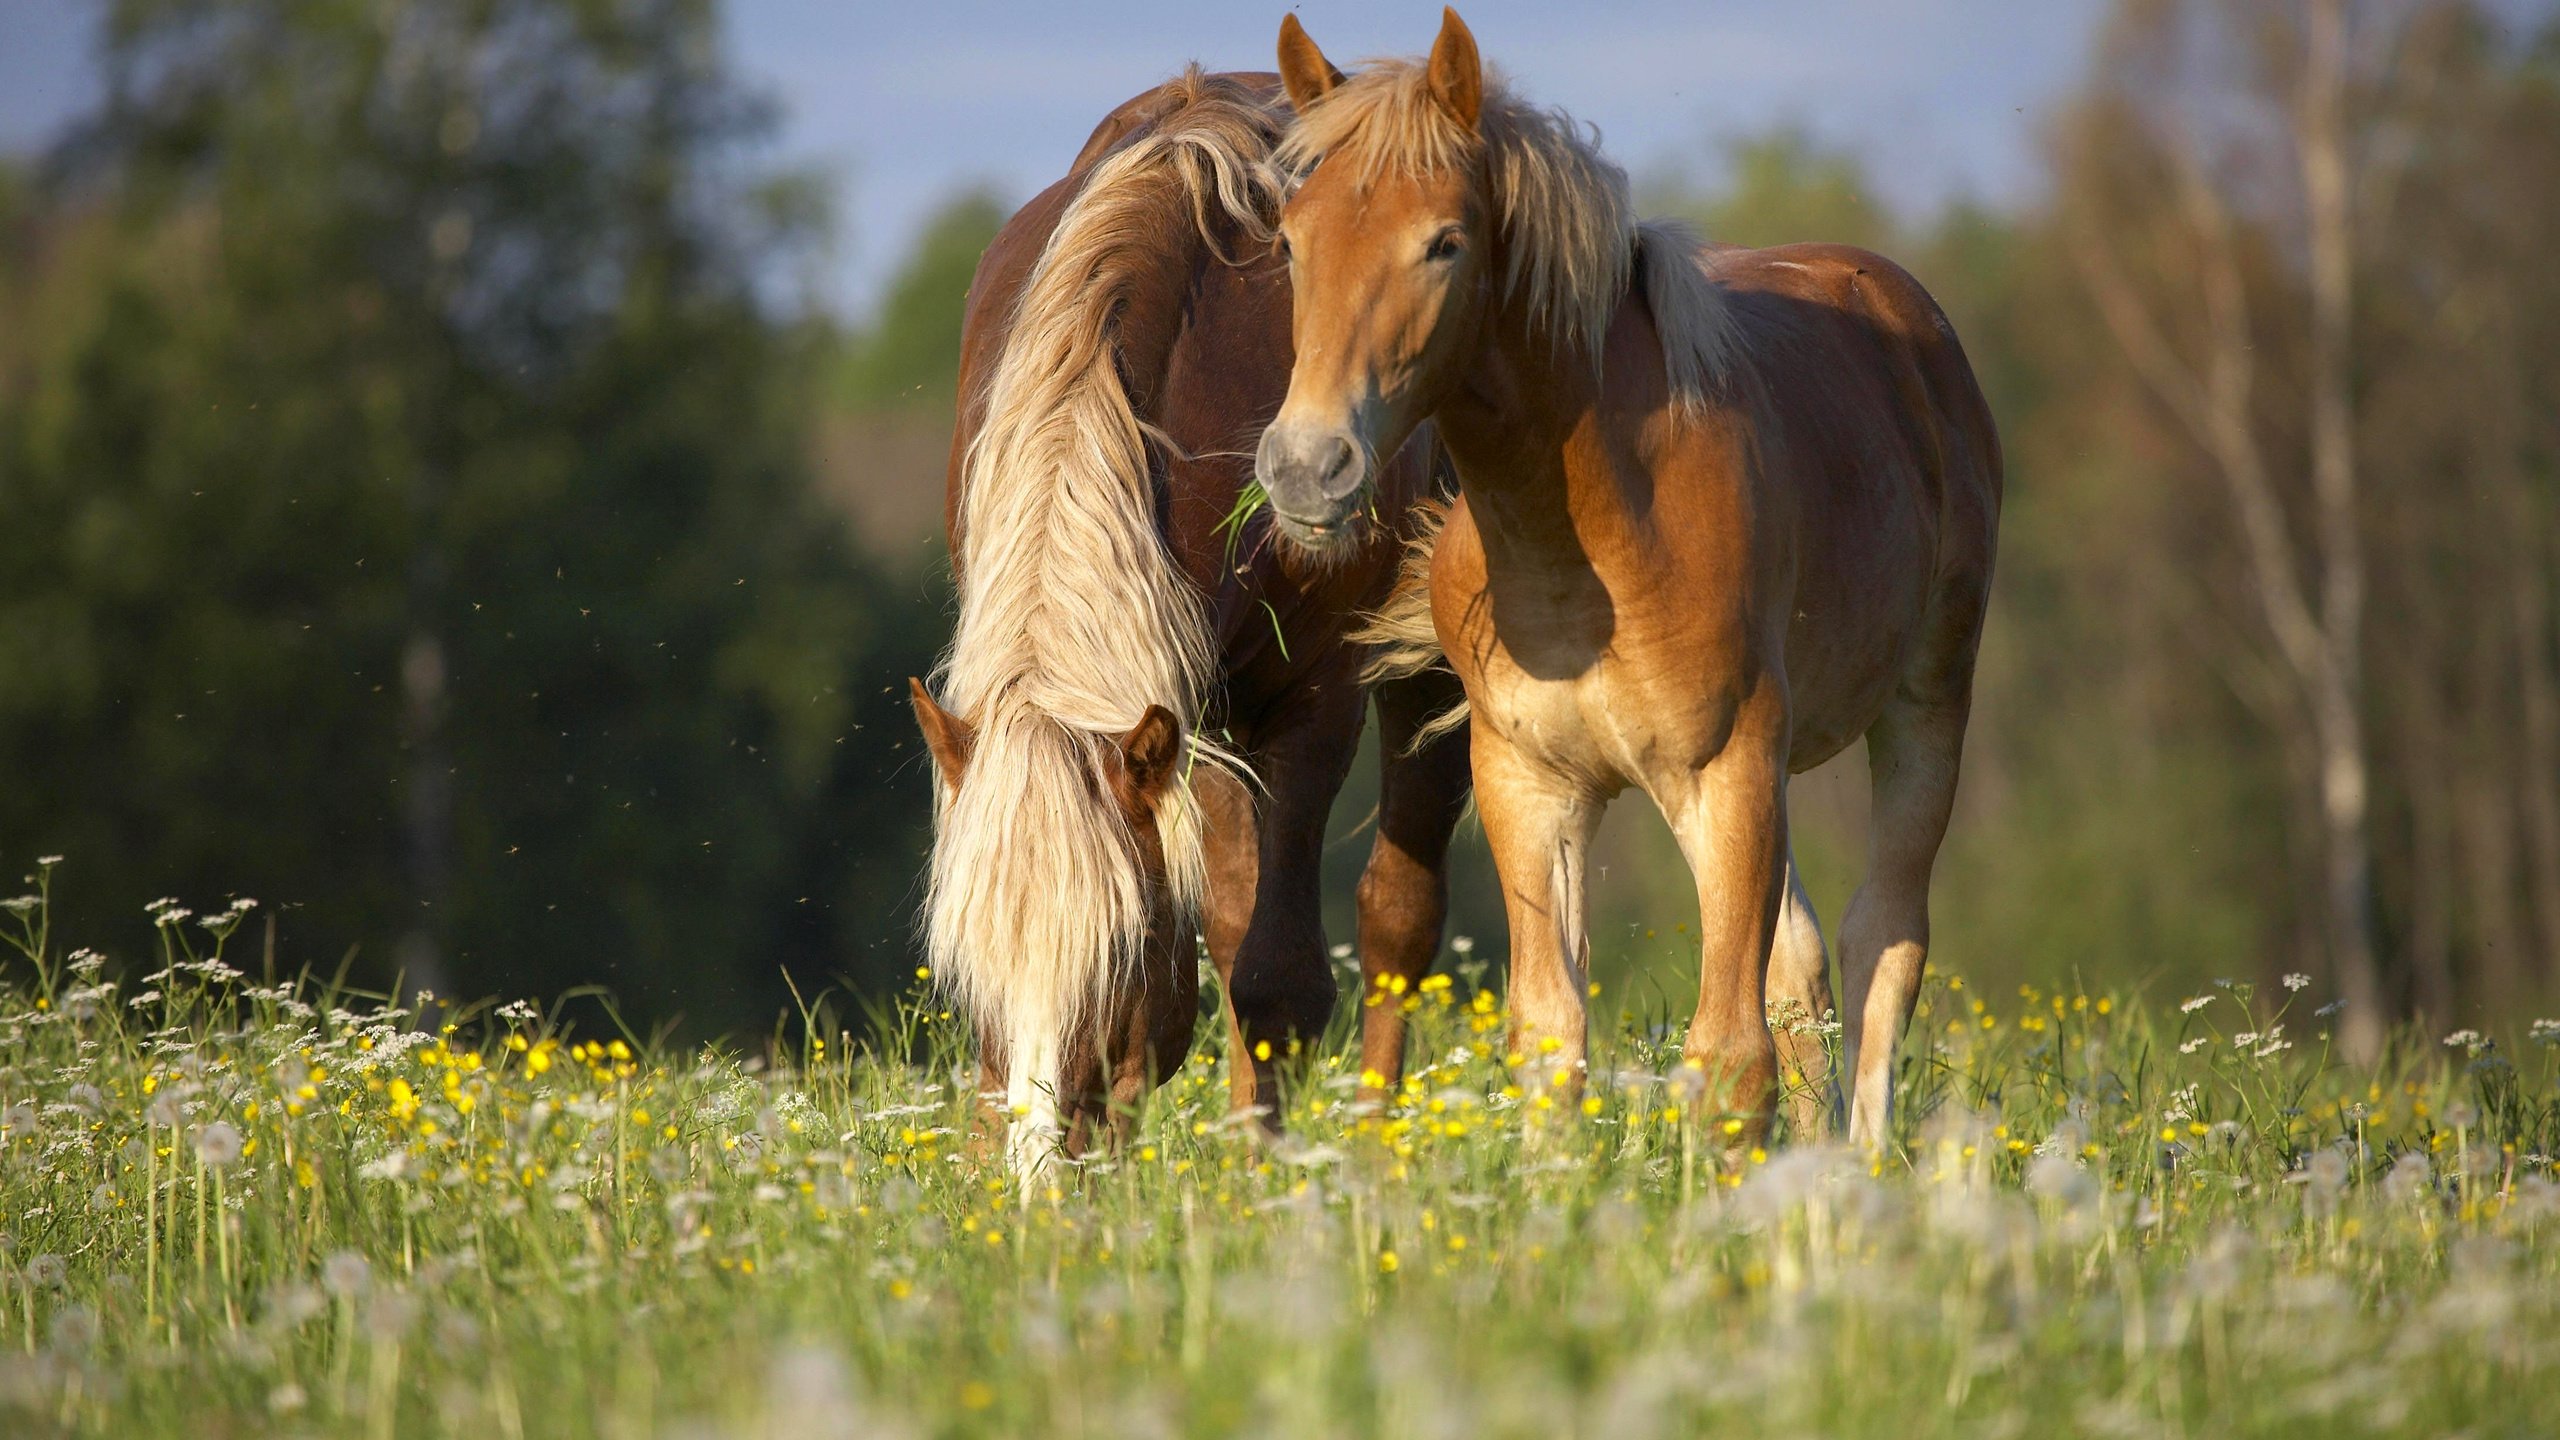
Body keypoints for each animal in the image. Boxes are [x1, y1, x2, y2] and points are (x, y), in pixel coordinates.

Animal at [911, 64, 1474, 1178]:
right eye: (964, 967)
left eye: (1117, 953)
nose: (1040, 1179)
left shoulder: (1310, 700)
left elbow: (1278, 978)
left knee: (1395, 919)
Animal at [1269, 2, 2007, 1142]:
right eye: (1292, 240)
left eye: (1443, 242)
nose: (1308, 466)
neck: (1593, 542)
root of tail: (1911, 320)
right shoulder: (1532, 786)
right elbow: (1550, 1036)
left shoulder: (1727, 768)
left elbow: (1730, 1054)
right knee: (1804, 969)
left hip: (1920, 708)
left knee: (1881, 943)